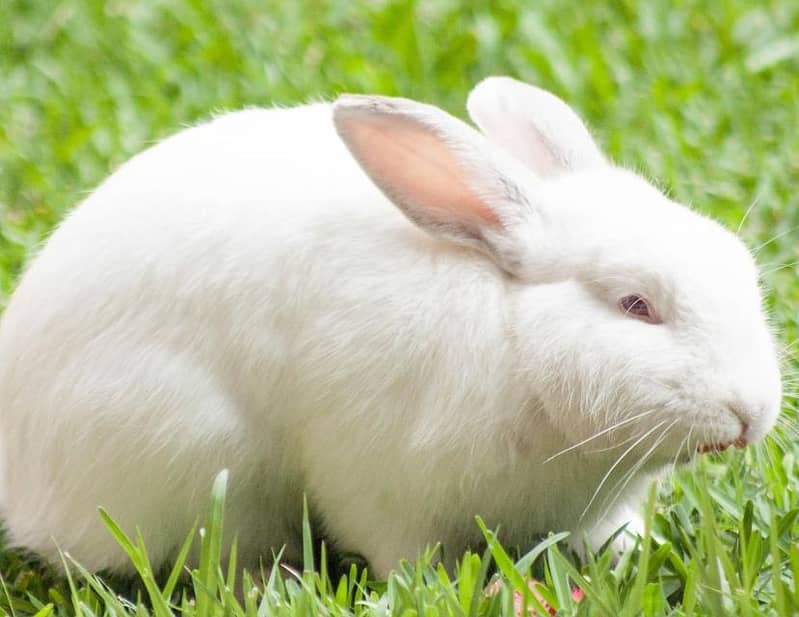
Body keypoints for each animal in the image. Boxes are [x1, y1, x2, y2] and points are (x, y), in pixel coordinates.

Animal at [0, 76, 782, 578]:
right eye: (635, 305)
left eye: (736, 263)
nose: (749, 413)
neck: (512, 338)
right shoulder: (377, 480)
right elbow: (400, 551)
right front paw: (431, 586)